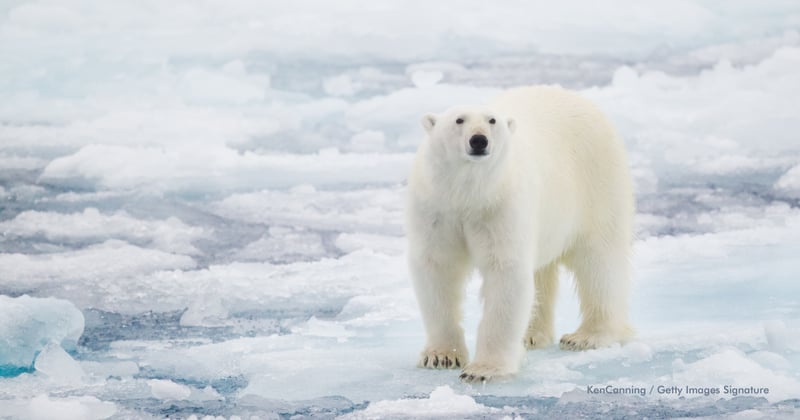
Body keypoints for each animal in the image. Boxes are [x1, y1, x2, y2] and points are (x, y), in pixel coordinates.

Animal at [410, 84, 636, 380]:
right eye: (459, 120)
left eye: (492, 120)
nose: (479, 140)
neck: (469, 193)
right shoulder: (437, 208)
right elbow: (437, 268)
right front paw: (441, 356)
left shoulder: (501, 206)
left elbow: (505, 272)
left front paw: (483, 370)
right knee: (543, 273)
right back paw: (532, 335)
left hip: (597, 181)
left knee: (599, 261)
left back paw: (587, 336)